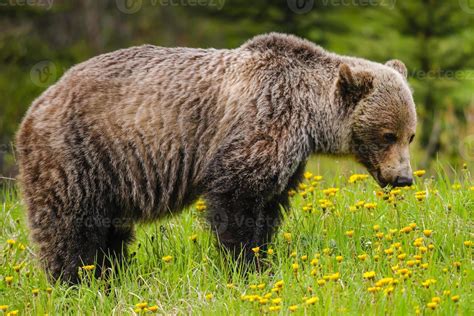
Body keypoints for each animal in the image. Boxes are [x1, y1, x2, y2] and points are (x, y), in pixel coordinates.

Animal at [15, 32, 414, 284]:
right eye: (387, 135)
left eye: (410, 134)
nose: (403, 178)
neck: (307, 116)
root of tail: (36, 106)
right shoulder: (260, 123)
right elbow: (236, 199)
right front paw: (246, 265)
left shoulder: (288, 156)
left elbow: (270, 205)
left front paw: (263, 256)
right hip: (77, 154)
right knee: (70, 225)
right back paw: (74, 280)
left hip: (109, 174)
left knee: (110, 228)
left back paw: (110, 275)